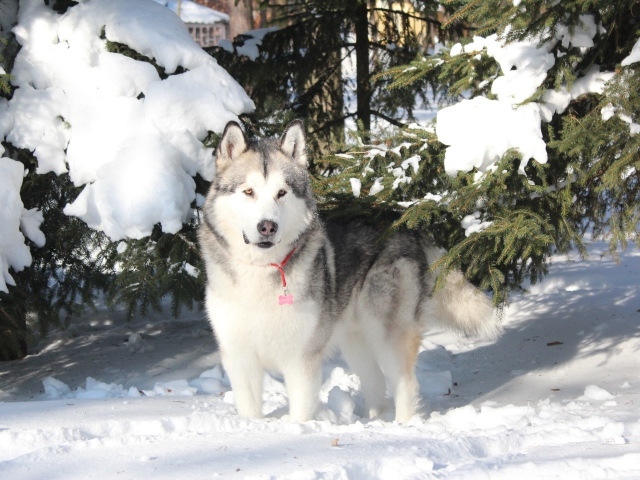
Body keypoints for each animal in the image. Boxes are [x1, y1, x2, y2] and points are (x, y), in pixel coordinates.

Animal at [200, 122, 500, 422]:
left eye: (281, 193)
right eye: (248, 192)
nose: (267, 226)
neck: (263, 270)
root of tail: (403, 220)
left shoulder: (301, 359)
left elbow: (300, 414)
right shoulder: (240, 358)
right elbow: (249, 412)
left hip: (387, 331)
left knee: (404, 383)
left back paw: (401, 425)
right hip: (354, 338)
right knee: (375, 381)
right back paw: (372, 420)